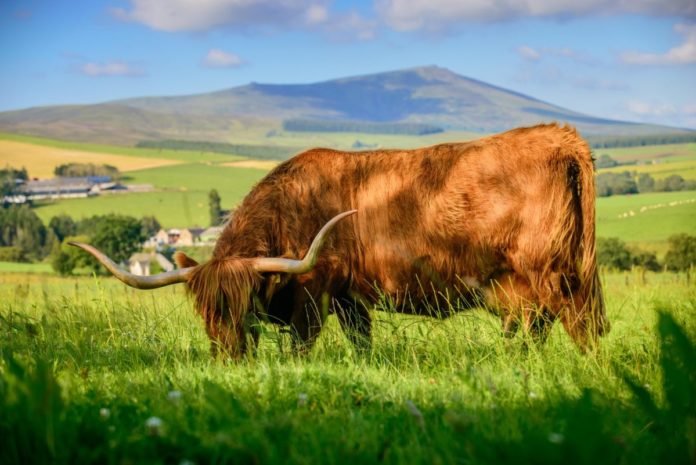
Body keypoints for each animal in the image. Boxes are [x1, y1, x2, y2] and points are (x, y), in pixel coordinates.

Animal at [72, 122, 608, 356]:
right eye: (204, 309)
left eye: (242, 304)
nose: (229, 356)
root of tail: (559, 134)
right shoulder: (352, 298)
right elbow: (362, 342)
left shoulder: (314, 293)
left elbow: (301, 346)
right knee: (536, 329)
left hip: (550, 274)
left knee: (575, 326)